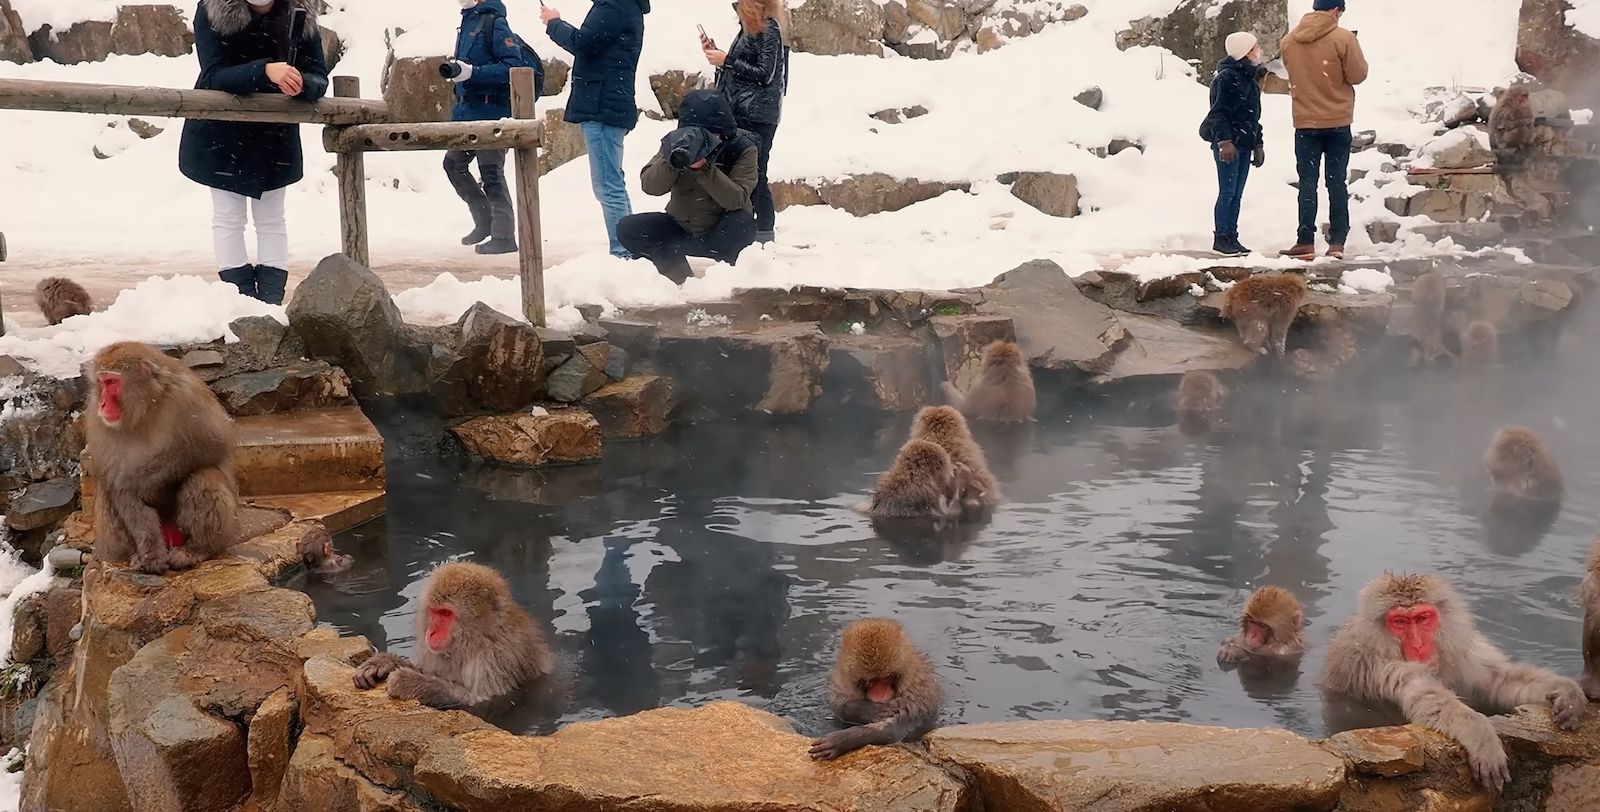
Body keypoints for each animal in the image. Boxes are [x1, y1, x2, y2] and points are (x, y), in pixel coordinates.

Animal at [85, 341, 240, 574]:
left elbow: (210, 444)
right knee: (107, 492)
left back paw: (197, 549)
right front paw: (150, 554)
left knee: (204, 475)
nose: (102, 403)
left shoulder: (188, 394)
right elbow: (120, 487)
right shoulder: (98, 422)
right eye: (101, 383)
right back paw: (136, 555)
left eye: (111, 382)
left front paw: (145, 484)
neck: (146, 409)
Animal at [353, 562, 554, 710]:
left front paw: (408, 681)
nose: (432, 632)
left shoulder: (496, 659)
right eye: (434, 611)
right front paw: (385, 662)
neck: (476, 640)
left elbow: (480, 699)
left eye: (446, 613)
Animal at [809, 618, 942, 760]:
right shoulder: (841, 686)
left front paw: (843, 740)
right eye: (870, 681)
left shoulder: (917, 694)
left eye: (887, 677)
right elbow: (838, 707)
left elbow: (894, 730)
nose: (880, 694)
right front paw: (868, 710)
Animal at [1320, 572, 1586, 791]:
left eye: (1422, 618)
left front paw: (1566, 690)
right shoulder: (1374, 665)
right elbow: (1429, 699)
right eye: (1400, 622)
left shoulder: (1462, 652)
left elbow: (1499, 680)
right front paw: (1481, 734)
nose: (1418, 645)